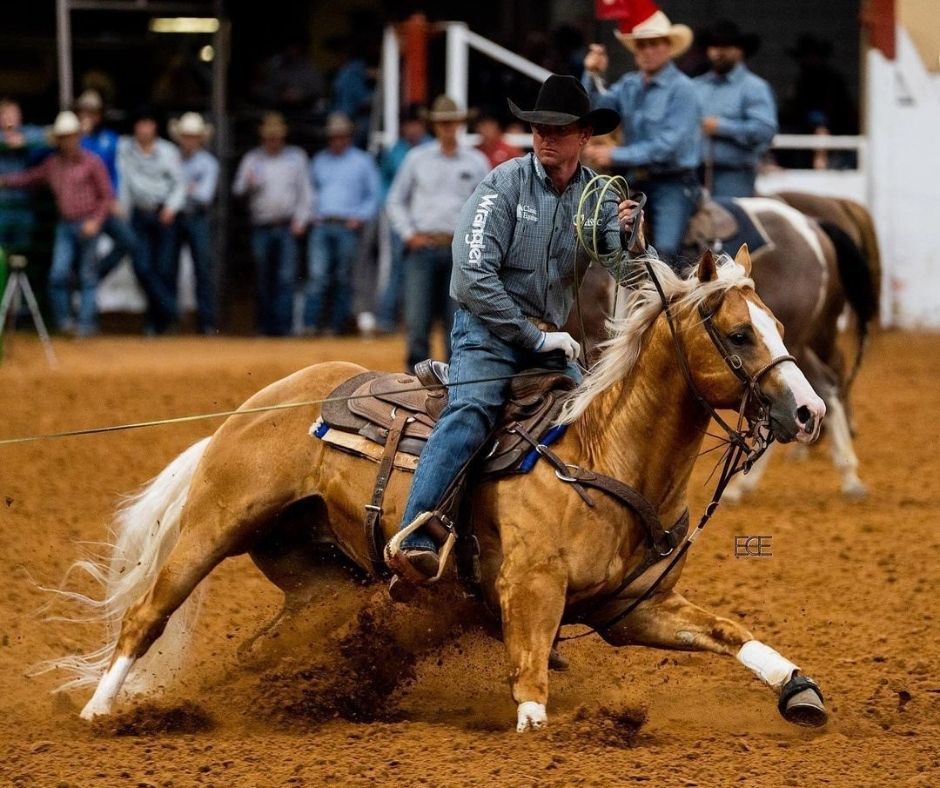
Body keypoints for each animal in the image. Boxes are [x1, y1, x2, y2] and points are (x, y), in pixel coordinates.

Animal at [52, 248, 829, 733]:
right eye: (739, 334)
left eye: (778, 325)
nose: (809, 411)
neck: (601, 456)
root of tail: (251, 409)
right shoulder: (530, 591)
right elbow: (530, 686)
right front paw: (539, 731)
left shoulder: (632, 609)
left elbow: (731, 632)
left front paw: (801, 691)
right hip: (213, 525)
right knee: (144, 617)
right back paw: (100, 714)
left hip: (322, 586)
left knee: (258, 648)